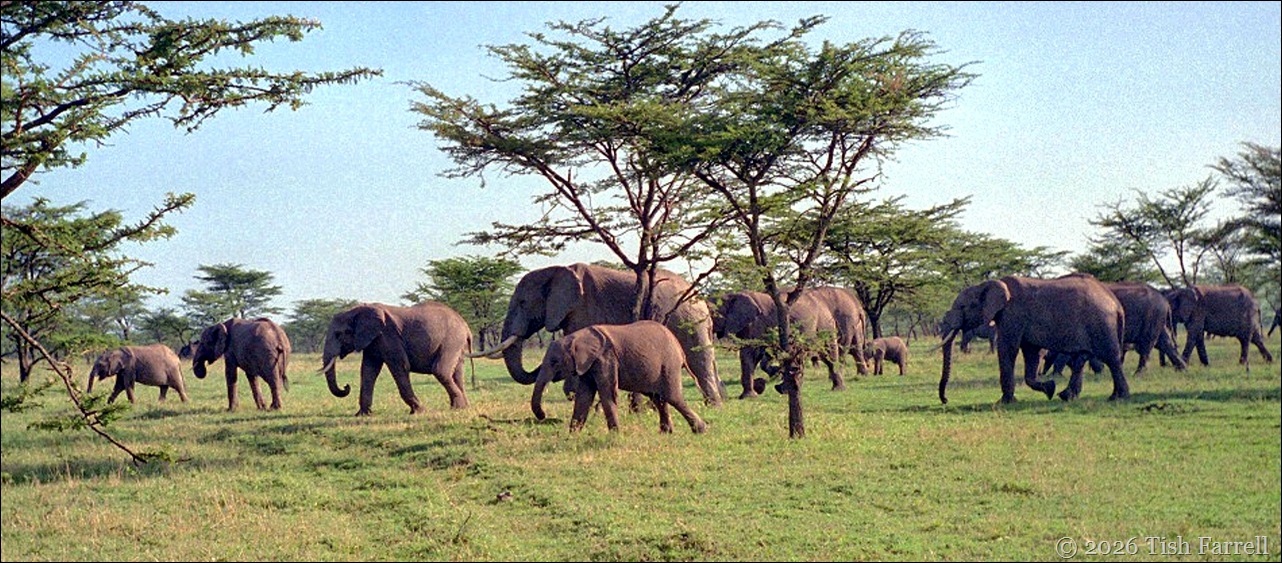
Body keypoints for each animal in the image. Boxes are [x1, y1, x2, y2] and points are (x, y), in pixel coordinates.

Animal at [321, 302, 471, 416]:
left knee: (440, 371)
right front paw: (362, 415)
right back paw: (461, 407)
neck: (359, 309)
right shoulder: (373, 341)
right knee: (457, 373)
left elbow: (400, 366)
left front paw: (419, 411)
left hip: (451, 341)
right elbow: (368, 371)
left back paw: (458, 407)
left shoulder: (388, 335)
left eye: (339, 334)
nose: (346, 386)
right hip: (456, 344)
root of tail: (466, 326)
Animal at [470, 263, 724, 406]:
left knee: (699, 362)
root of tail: (702, 300)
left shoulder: (584, 308)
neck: (555, 270)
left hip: (686, 321)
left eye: (523, 303)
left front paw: (573, 396)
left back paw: (713, 406)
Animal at [531, 321, 707, 434]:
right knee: (658, 398)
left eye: (554, 362)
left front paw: (615, 435)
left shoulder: (606, 358)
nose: (543, 415)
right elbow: (584, 397)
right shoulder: (589, 364)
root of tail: (680, 348)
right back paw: (666, 432)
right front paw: (573, 435)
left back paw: (701, 430)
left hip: (669, 364)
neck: (577, 336)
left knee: (673, 397)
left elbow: (607, 393)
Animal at [713, 289, 843, 398]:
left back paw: (837, 389)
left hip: (824, 325)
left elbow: (749, 353)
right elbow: (758, 357)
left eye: (713, 315)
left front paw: (749, 396)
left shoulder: (755, 324)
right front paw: (761, 384)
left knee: (829, 356)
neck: (731, 295)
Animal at [937, 274, 1129, 404]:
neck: (987, 284)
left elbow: (1008, 349)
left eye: (963, 307)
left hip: (1101, 323)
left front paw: (1004, 402)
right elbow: (1031, 353)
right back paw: (1069, 396)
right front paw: (1050, 389)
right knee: (1082, 358)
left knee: (1111, 358)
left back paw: (1120, 398)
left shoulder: (1013, 315)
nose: (946, 400)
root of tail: (1116, 303)